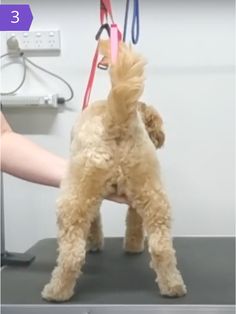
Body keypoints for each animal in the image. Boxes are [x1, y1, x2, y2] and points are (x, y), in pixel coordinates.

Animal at [42, 41, 186, 302]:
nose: (160, 138)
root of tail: (118, 121)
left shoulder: (90, 197)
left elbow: (94, 223)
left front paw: (94, 243)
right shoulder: (136, 200)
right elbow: (134, 223)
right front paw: (133, 247)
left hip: (75, 197)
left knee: (72, 254)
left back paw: (56, 291)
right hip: (153, 193)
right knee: (162, 247)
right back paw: (173, 286)